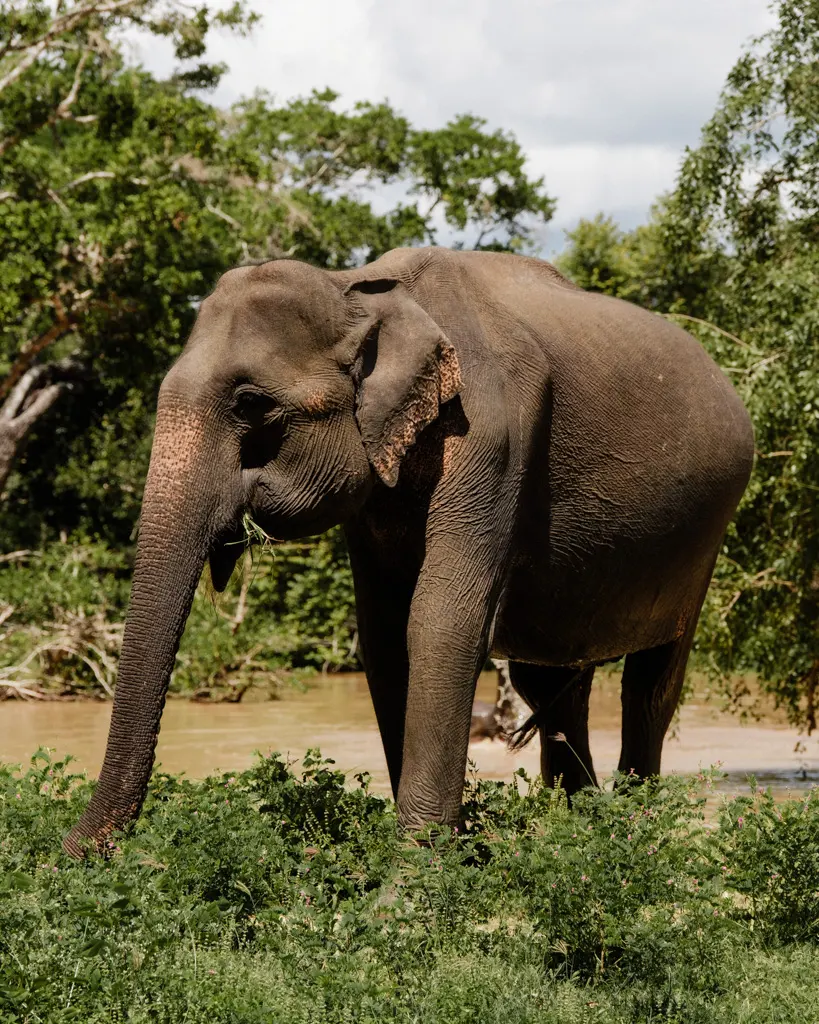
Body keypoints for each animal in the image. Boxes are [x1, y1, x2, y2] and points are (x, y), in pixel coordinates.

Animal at [63, 246, 754, 856]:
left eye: (252, 405)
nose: (70, 853)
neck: (359, 288)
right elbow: (384, 635)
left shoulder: (492, 432)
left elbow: (441, 622)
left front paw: (410, 885)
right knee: (551, 682)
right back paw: (580, 828)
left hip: (709, 529)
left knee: (652, 682)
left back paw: (636, 831)